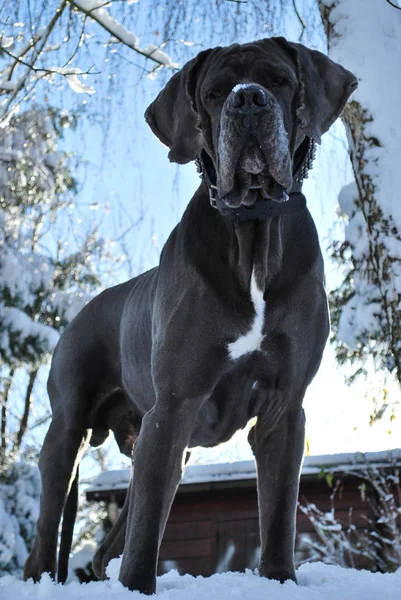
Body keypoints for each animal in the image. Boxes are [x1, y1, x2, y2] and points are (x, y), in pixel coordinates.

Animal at [24, 36, 356, 592]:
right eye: (216, 92)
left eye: (280, 80)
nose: (248, 100)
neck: (253, 231)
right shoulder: (175, 406)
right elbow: (144, 540)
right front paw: (139, 588)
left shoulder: (285, 409)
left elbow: (279, 515)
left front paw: (280, 580)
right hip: (70, 434)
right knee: (51, 531)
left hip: (150, 445)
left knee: (111, 543)